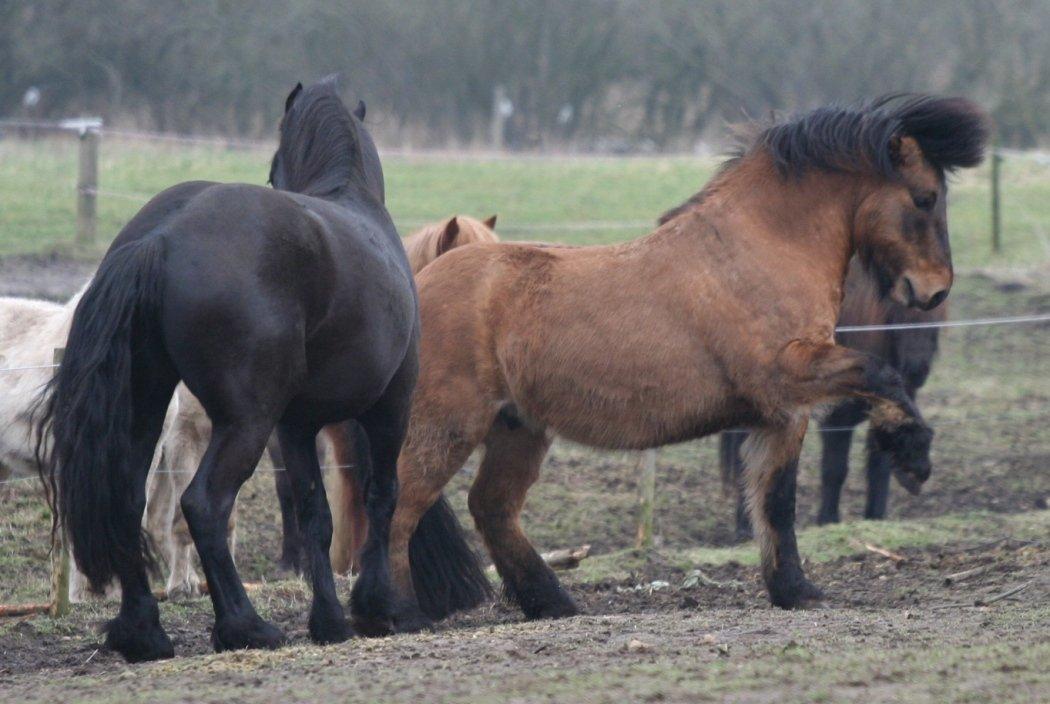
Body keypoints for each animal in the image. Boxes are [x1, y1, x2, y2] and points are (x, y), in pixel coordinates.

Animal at [35, 78, 432, 663]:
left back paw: (143, 632)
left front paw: (329, 620)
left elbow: (315, 516)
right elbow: (381, 497)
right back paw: (244, 625)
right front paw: (378, 607)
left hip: (146, 407)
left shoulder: (297, 426)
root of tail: (161, 237)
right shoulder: (389, 408)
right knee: (203, 504)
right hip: (245, 423)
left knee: (128, 501)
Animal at [717, 261, 946, 539]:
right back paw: (744, 528)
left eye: (936, 319)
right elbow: (835, 469)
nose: (916, 370)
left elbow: (878, 465)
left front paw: (875, 518)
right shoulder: (837, 417)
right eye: (895, 313)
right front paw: (828, 520)